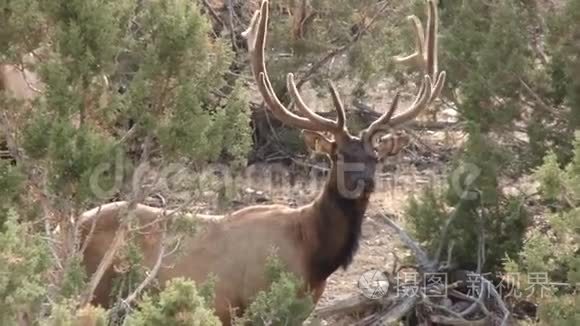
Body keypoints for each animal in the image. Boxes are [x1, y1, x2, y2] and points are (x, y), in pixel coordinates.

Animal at [80, 0, 444, 324]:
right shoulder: (251, 303)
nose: (364, 182)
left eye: (375, 156)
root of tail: (71, 225)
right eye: (338, 154)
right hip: (97, 294)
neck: (313, 258)